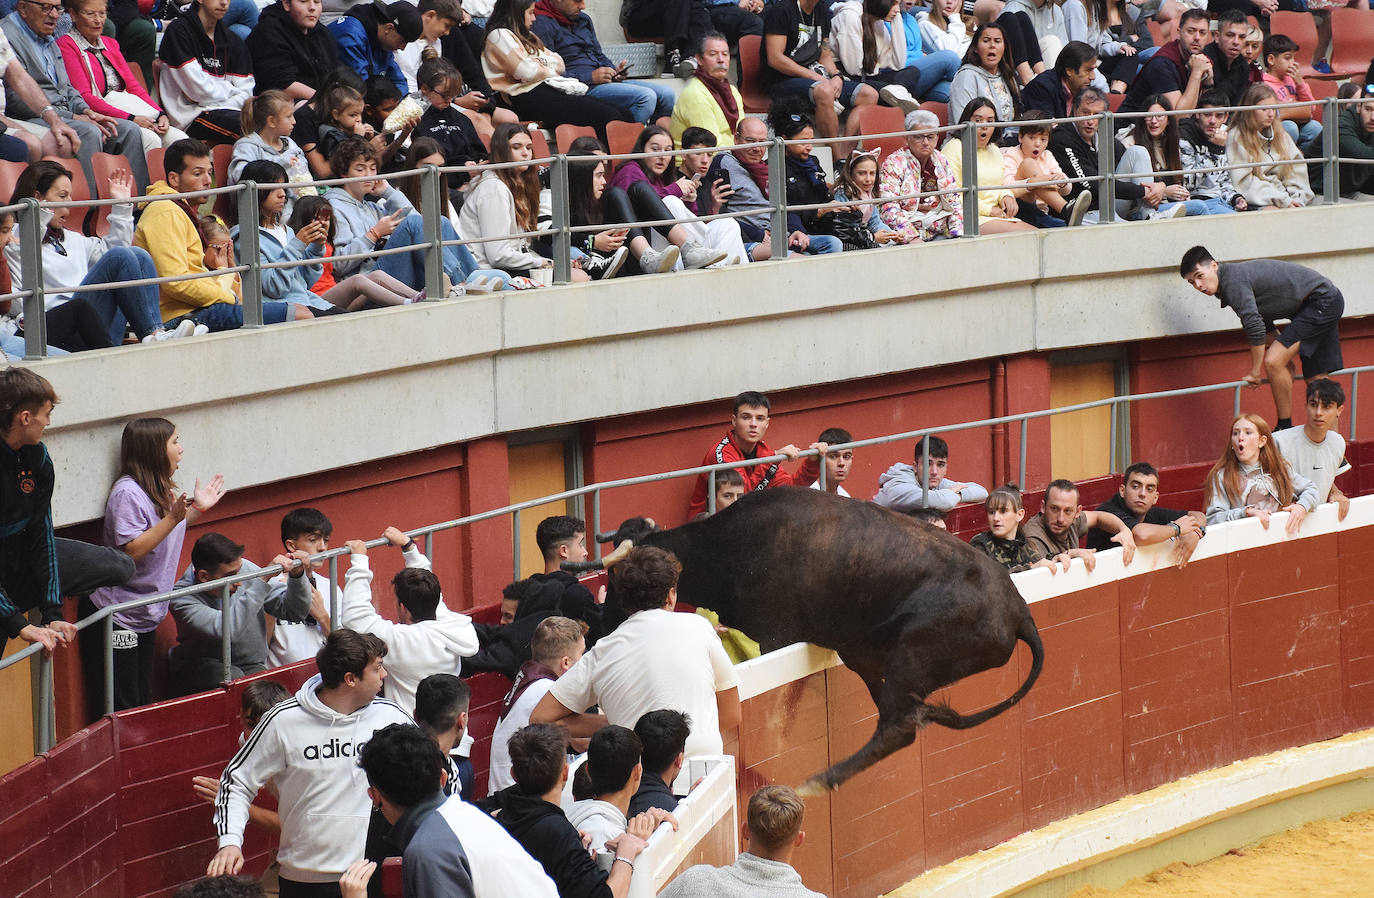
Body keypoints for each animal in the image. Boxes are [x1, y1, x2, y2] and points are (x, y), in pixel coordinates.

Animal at [568, 491, 1038, 796]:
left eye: (619, 579)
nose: (599, 628)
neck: (725, 545)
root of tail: (1018, 608)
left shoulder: (773, 634)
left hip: (911, 655)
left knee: (899, 726)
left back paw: (818, 781)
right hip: (867, 654)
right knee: (904, 716)